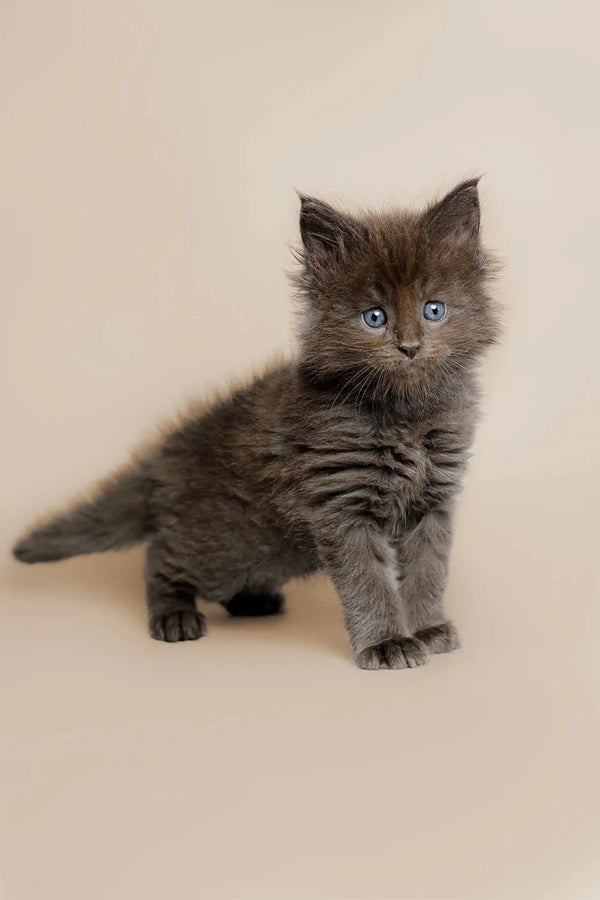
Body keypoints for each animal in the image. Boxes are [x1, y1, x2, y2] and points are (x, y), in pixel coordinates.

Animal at [11, 179, 500, 668]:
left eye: (433, 310)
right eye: (374, 317)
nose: (410, 346)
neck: (406, 414)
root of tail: (166, 457)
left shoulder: (432, 502)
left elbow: (428, 569)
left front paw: (428, 628)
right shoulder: (342, 503)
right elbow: (369, 580)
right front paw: (387, 642)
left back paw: (253, 600)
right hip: (226, 544)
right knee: (160, 554)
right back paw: (174, 615)